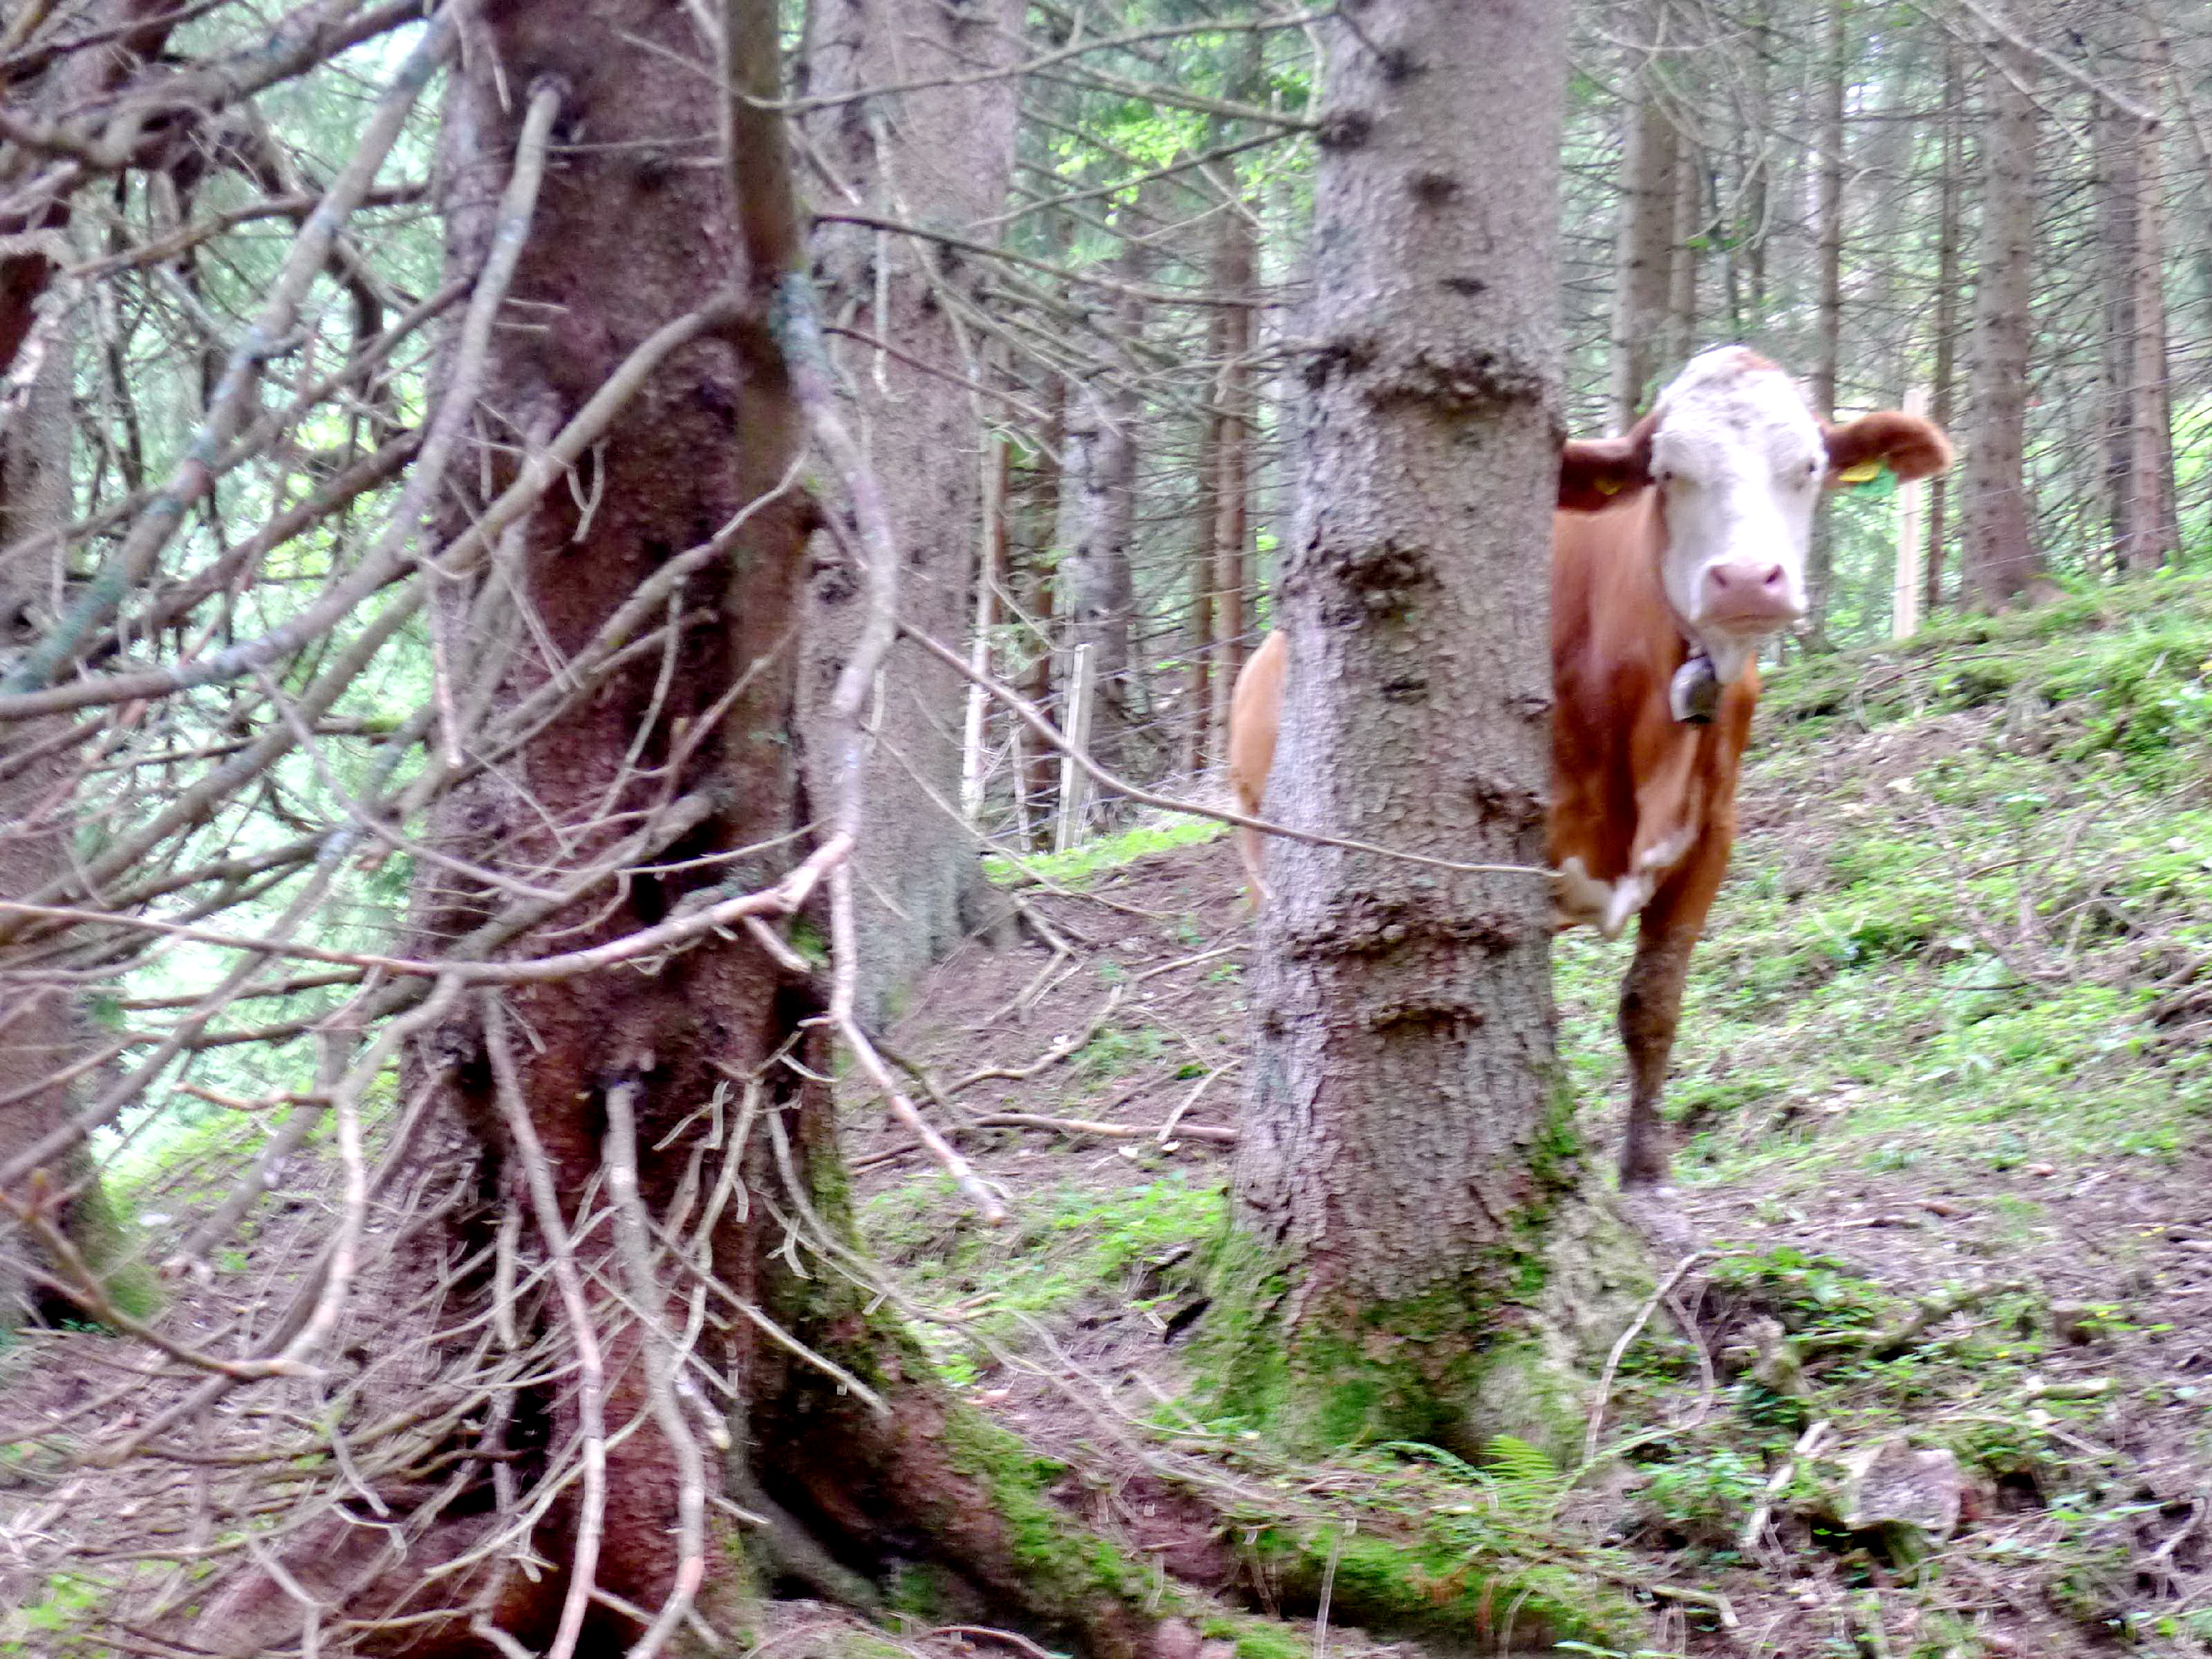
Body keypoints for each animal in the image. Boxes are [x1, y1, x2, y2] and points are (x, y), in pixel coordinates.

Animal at [1228, 346, 1951, 1187]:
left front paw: (1644, 1168)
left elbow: (1652, 1003)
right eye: (1666, 472)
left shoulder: (1710, 836)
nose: (1745, 580)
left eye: (1807, 466)